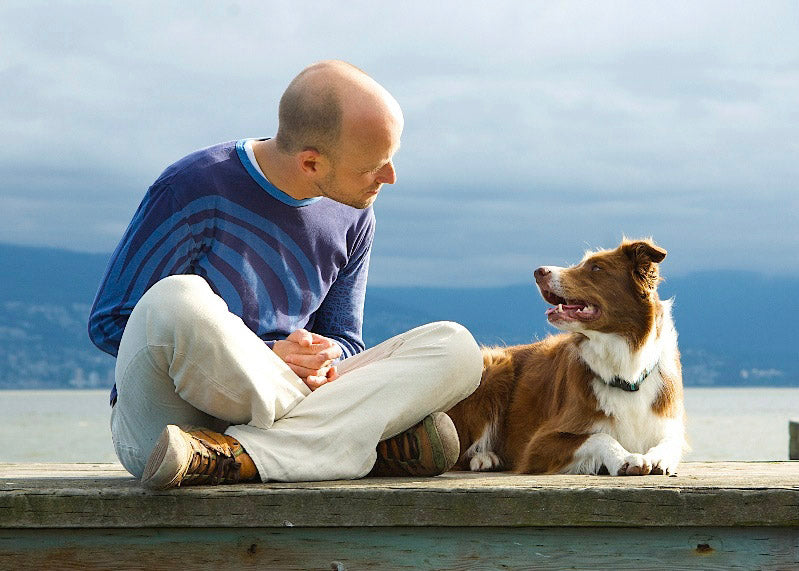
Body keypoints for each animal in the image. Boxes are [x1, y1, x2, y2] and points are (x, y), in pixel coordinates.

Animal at [446, 239, 684, 476]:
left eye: (596, 268)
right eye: (580, 263)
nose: (539, 271)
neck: (625, 371)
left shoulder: (667, 426)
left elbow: (671, 443)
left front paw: (657, 458)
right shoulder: (538, 444)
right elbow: (599, 436)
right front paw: (624, 457)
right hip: (492, 369)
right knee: (456, 451)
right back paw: (485, 457)